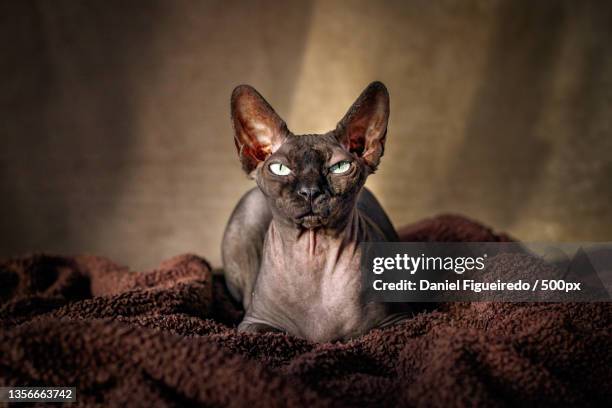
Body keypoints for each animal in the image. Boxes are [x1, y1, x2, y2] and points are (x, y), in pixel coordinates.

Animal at [221, 81, 406, 342]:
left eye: (340, 167)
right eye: (280, 168)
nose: (310, 191)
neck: (313, 254)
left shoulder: (395, 322)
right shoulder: (254, 323)